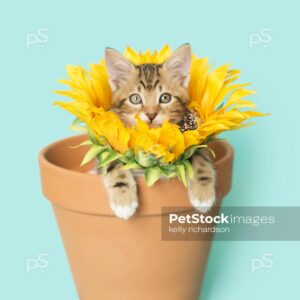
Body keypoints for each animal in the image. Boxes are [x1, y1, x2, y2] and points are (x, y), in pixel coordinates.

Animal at [103, 43, 216, 219]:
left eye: (165, 97)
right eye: (135, 98)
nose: (151, 115)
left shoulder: (192, 144)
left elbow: (200, 157)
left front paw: (203, 195)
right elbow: (113, 163)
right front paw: (124, 201)